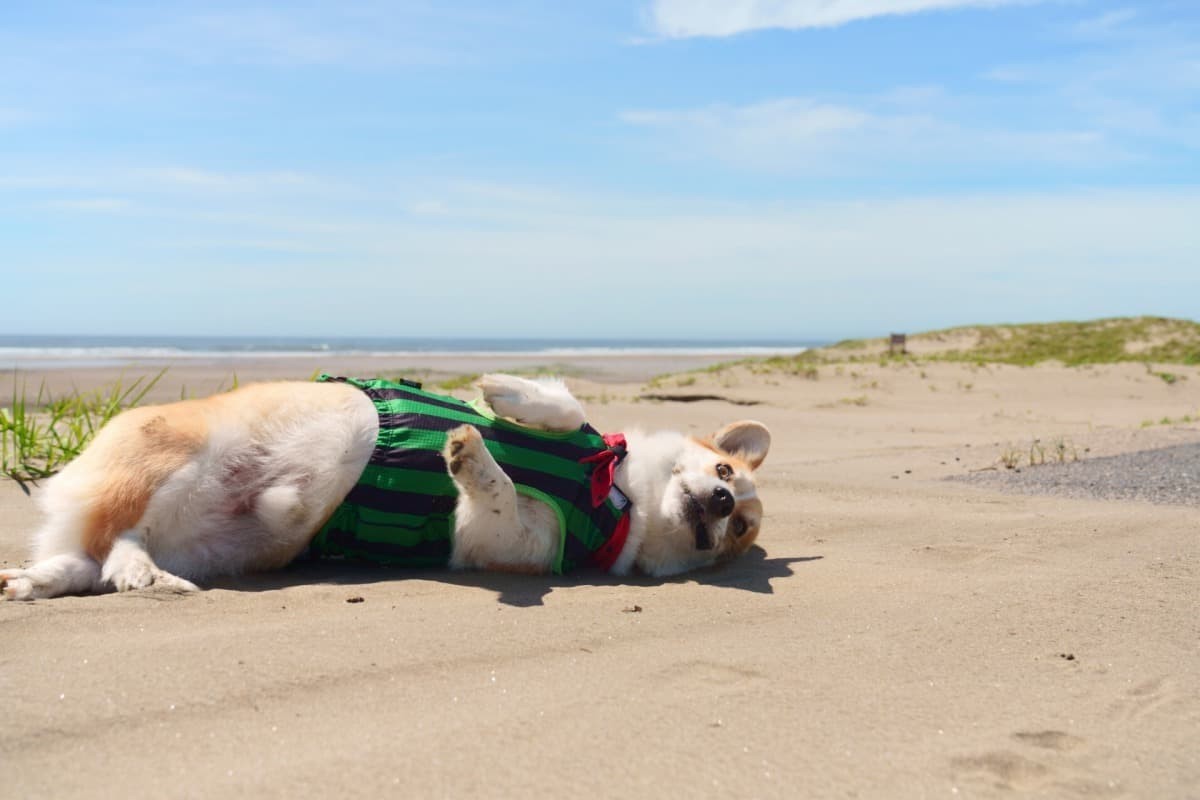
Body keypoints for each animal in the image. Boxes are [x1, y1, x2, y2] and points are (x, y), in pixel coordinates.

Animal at [0, 376, 768, 599]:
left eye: (738, 532)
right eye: (725, 473)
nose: (724, 504)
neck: (613, 496)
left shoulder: (493, 537)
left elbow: (490, 491)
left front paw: (471, 459)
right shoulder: (577, 435)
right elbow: (561, 404)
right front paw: (506, 394)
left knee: (96, 559)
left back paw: (94, 578)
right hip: (185, 464)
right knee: (114, 533)